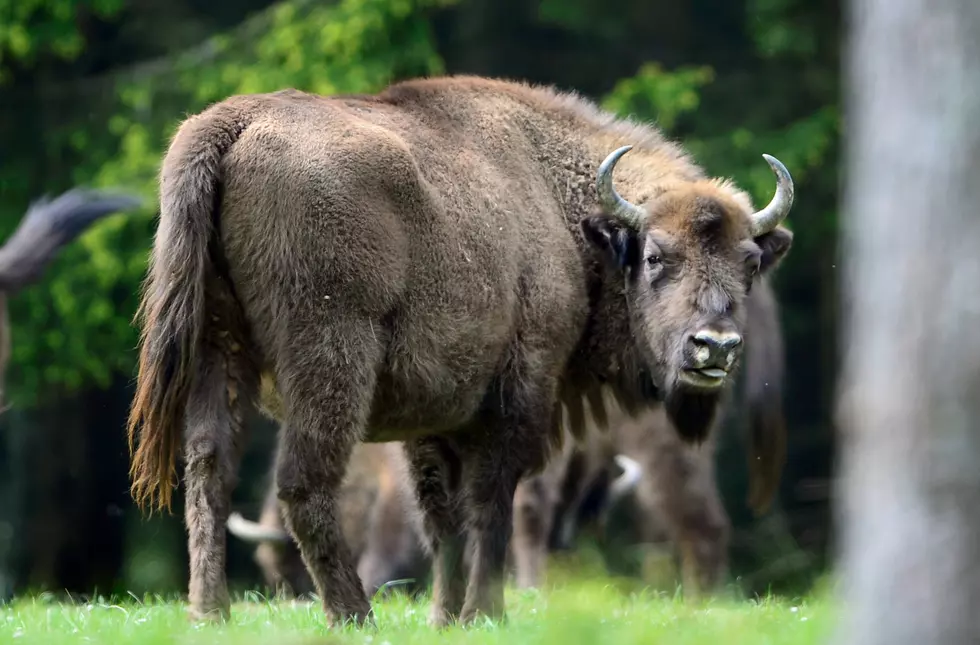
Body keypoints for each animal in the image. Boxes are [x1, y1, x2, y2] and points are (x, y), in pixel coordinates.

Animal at [124, 74, 796, 624]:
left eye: (749, 263)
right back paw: (354, 616)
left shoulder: (434, 415)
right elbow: (492, 501)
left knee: (208, 471)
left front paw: (447, 615)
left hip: (215, 350)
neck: (564, 212)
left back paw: (210, 614)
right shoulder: (521, 391)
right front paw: (484, 612)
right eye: (655, 256)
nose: (714, 346)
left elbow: (443, 514)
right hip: (331, 356)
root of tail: (228, 125)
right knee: (303, 482)